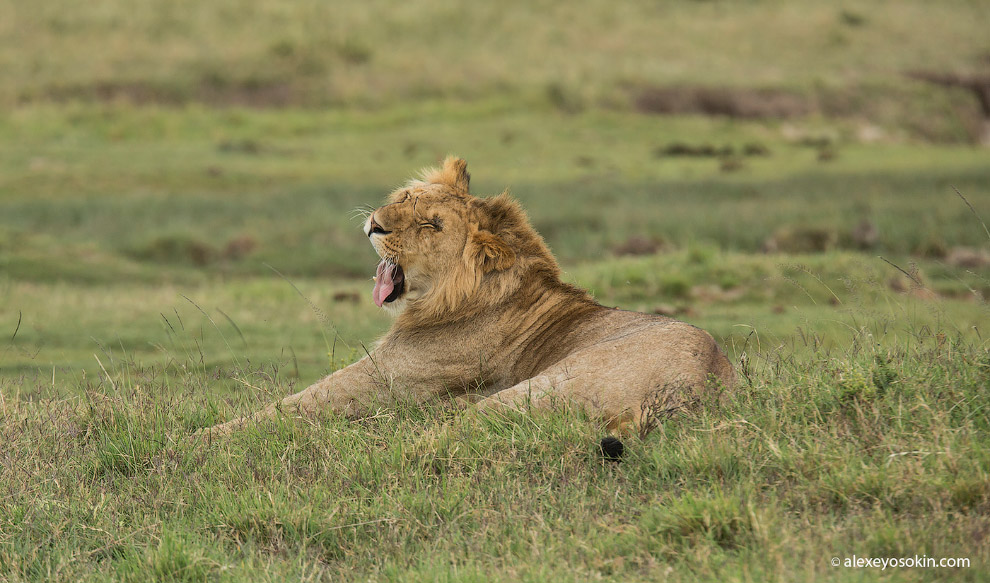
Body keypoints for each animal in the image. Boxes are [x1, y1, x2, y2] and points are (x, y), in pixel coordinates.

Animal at [209, 155, 732, 438]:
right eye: (405, 198)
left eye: (430, 225)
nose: (375, 224)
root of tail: (696, 388)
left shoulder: (385, 376)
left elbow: (288, 406)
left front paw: (203, 437)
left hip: (539, 388)